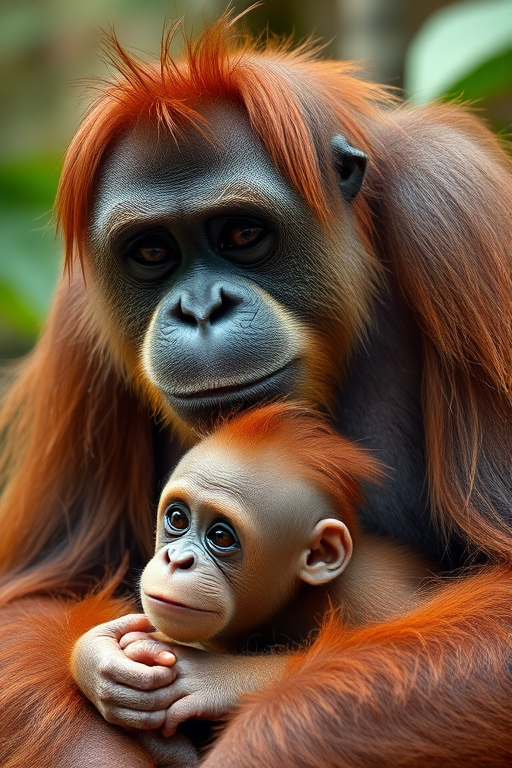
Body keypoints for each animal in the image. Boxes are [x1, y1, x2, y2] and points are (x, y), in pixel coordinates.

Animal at [2, 11, 512, 768]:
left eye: (242, 233)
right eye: (152, 252)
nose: (201, 308)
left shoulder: (460, 214)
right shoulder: (73, 312)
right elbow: (37, 593)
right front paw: (100, 664)